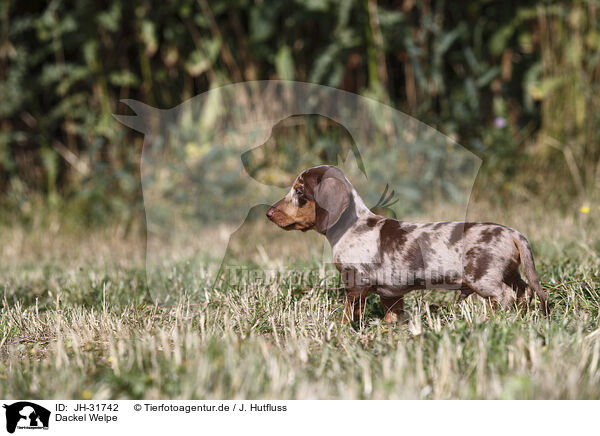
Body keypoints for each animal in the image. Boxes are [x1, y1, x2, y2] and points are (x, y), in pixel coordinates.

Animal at [268, 165, 548, 322]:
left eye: (299, 191)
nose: (269, 213)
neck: (352, 226)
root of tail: (513, 232)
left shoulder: (355, 282)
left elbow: (349, 313)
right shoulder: (391, 293)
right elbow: (393, 315)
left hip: (484, 277)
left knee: (505, 296)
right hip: (511, 273)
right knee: (524, 291)